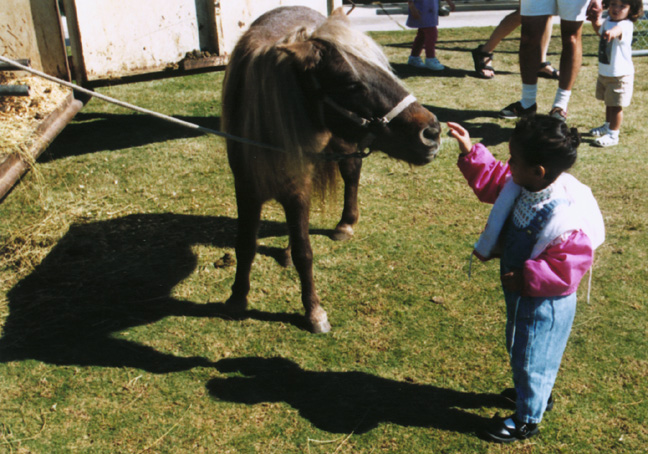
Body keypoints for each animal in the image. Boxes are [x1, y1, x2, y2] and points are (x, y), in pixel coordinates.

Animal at [221, 6, 440, 334]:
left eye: (383, 67)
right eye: (350, 83)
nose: (432, 132)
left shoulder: (298, 190)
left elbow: (305, 252)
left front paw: (313, 311)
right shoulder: (246, 189)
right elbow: (246, 243)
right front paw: (237, 297)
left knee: (351, 174)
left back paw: (345, 224)